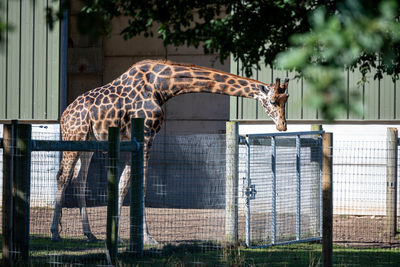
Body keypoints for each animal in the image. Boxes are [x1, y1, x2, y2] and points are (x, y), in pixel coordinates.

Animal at [51, 59, 290, 245]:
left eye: (285, 100)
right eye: (271, 101)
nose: (282, 126)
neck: (163, 86)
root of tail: (64, 115)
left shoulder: (136, 138)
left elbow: (123, 184)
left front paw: (117, 234)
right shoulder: (146, 135)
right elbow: (139, 185)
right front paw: (147, 238)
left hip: (89, 142)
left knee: (79, 179)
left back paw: (89, 234)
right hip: (74, 136)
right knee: (62, 176)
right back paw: (55, 233)